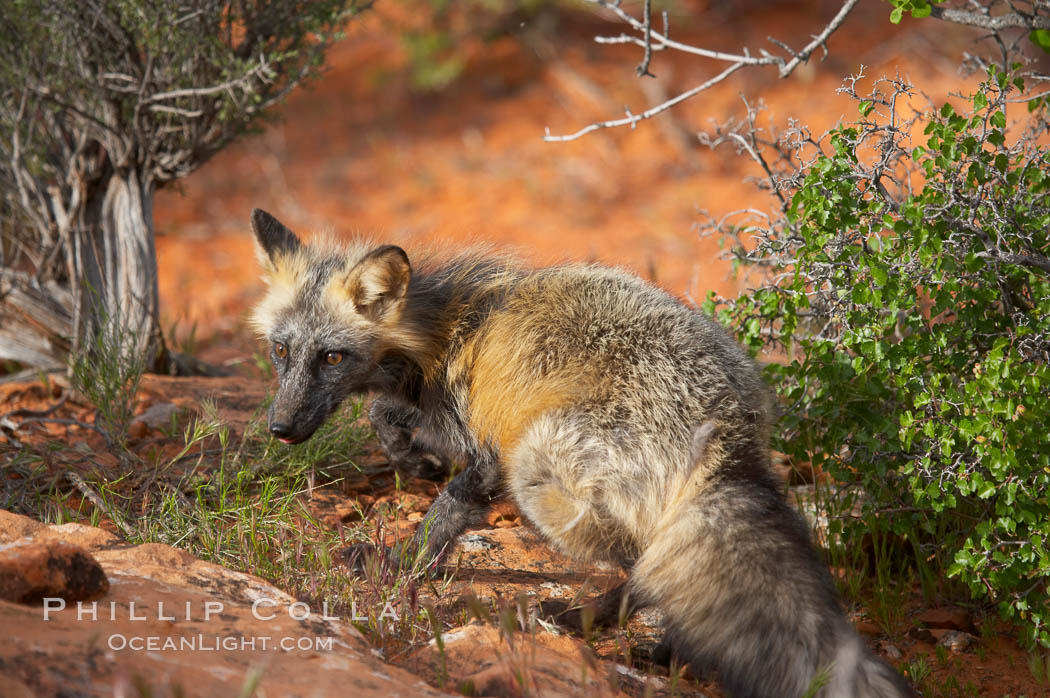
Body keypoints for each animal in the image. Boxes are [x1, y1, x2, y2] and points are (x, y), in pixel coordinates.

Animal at [249, 206, 915, 696]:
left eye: (332, 357)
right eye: (281, 352)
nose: (280, 428)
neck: (442, 334)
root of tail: (723, 421)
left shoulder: (490, 452)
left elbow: (443, 515)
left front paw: (402, 564)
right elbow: (383, 414)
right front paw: (413, 460)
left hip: (541, 472)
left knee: (646, 566)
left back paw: (586, 624)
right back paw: (663, 649)